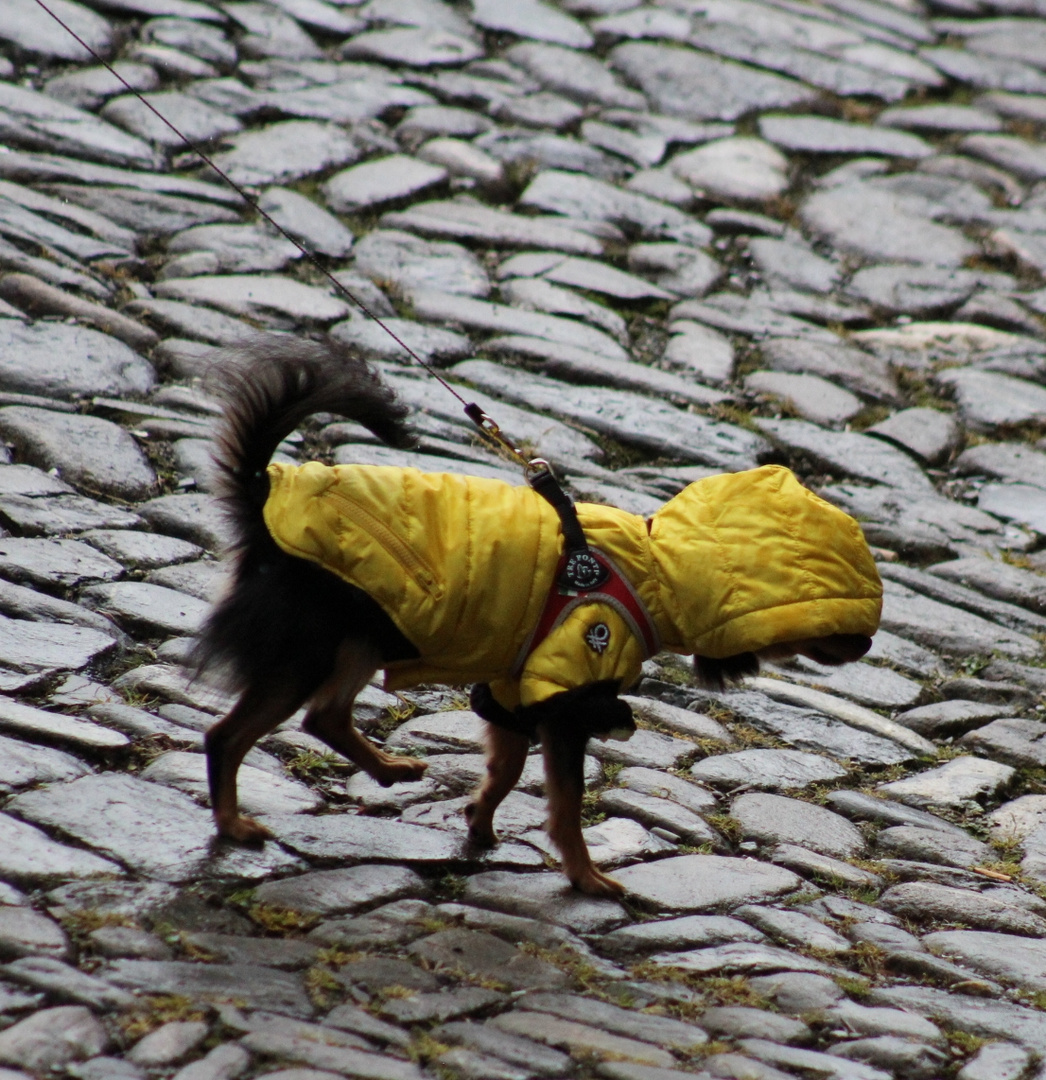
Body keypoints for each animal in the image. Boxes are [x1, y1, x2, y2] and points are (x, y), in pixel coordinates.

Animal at [196, 336, 880, 894]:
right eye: (845, 630)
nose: (871, 650)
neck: (654, 568)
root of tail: (261, 493)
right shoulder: (569, 696)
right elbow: (567, 803)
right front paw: (584, 876)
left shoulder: (512, 692)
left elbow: (505, 770)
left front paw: (478, 826)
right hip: (311, 650)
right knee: (230, 735)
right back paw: (232, 824)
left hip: (363, 636)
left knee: (326, 717)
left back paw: (388, 770)